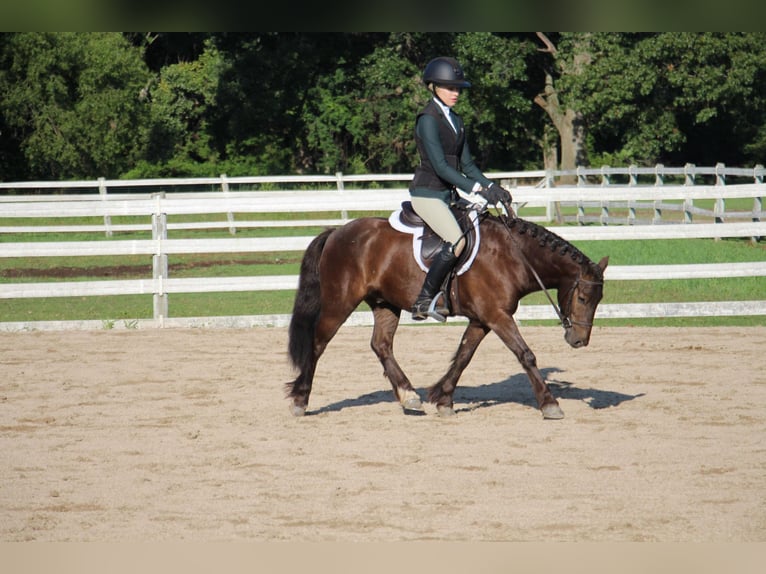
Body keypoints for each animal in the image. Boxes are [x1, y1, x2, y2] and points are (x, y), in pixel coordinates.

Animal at [284, 205, 608, 420]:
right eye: (582, 297)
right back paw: (300, 400)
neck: (514, 255)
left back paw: (409, 397)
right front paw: (550, 404)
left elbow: (464, 355)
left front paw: (443, 399)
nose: (579, 340)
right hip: (340, 302)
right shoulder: (497, 316)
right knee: (317, 343)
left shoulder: (482, 319)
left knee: (381, 345)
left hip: (385, 303)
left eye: (599, 299)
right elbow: (525, 354)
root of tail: (335, 232)